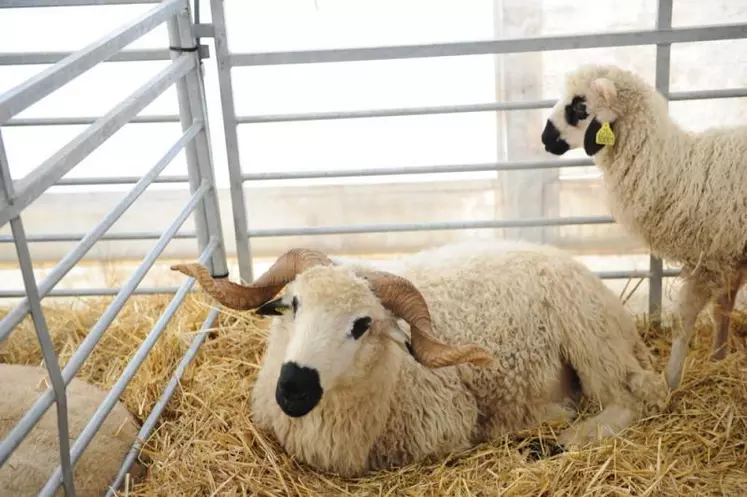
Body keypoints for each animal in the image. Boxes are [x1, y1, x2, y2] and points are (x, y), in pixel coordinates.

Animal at [172, 240, 668, 476]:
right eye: (294, 304)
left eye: (362, 324)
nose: (293, 388)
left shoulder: (445, 429)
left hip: (591, 337)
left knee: (635, 400)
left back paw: (556, 441)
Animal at [540, 62, 747, 390]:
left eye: (579, 106)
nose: (545, 138)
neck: (676, 171)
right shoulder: (729, 257)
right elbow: (722, 310)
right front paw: (718, 358)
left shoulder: (709, 259)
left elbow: (685, 318)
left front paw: (671, 381)